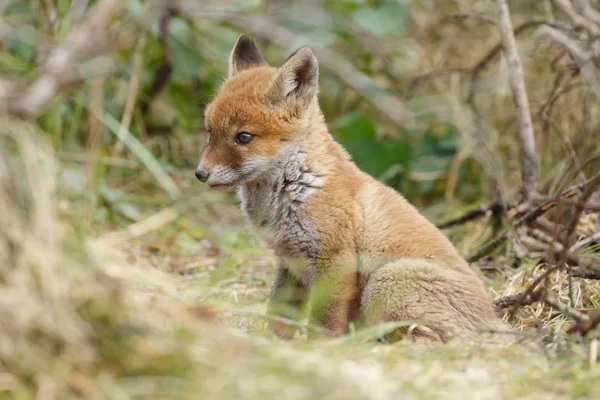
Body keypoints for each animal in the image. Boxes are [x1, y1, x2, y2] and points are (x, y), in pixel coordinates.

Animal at [197, 35, 502, 340]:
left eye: (243, 137)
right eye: (210, 132)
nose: (200, 173)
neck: (298, 185)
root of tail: (494, 321)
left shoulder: (336, 262)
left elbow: (323, 322)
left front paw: (319, 347)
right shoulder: (289, 262)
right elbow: (279, 315)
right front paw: (272, 343)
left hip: (385, 283)